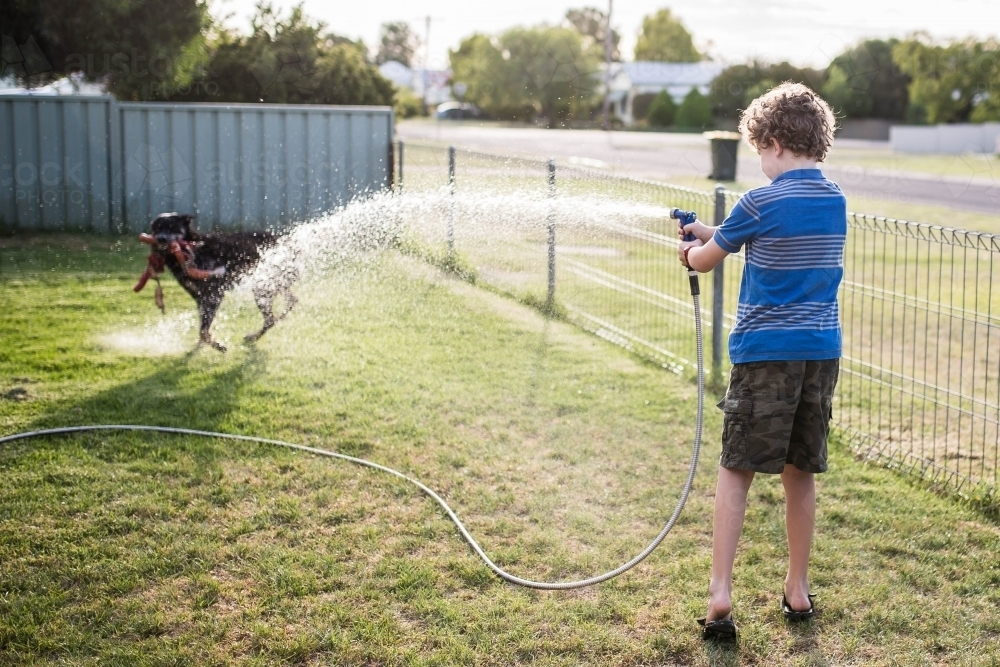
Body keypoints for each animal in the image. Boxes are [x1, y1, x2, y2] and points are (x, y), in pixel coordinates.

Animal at [137, 214, 300, 352]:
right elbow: (202, 327)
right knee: (290, 302)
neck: (194, 250)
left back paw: (254, 336)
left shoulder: (214, 294)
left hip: (262, 287)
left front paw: (218, 346)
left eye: (172, 227)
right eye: (157, 228)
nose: (161, 239)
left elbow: (204, 329)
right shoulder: (199, 297)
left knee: (270, 319)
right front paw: (201, 346)